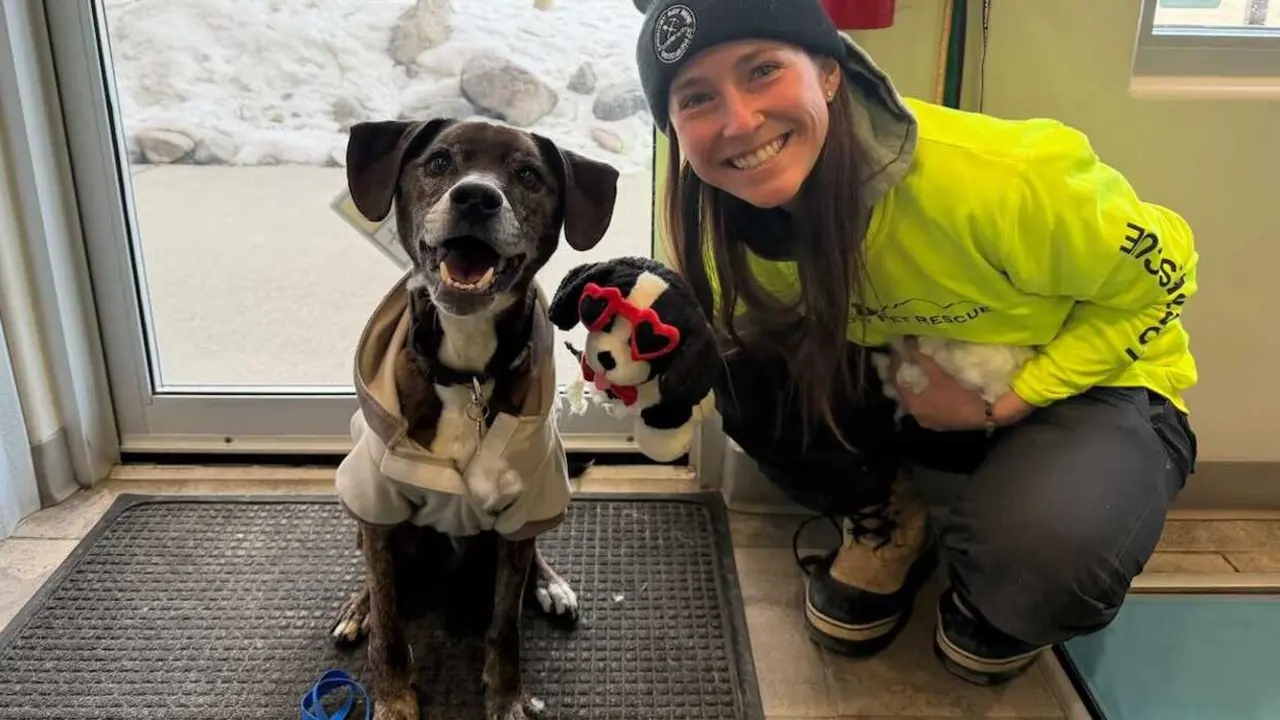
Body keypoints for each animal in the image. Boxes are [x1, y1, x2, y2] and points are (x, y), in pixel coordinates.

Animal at [329, 117, 619, 720]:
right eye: (439, 162)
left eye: (528, 175)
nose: (477, 197)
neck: (467, 373)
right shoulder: (379, 501)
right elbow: (390, 625)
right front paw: (394, 699)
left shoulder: (524, 506)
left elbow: (504, 627)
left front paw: (506, 698)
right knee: (378, 570)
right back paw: (358, 606)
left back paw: (550, 583)